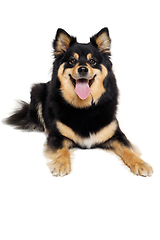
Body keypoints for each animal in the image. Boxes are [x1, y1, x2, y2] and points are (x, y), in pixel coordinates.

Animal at [5, 28, 153, 177]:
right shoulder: (56, 136)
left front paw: (140, 163)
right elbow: (62, 150)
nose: (82, 69)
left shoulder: (117, 134)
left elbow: (128, 149)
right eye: (72, 60)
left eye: (92, 61)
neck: (84, 107)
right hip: (37, 90)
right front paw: (61, 163)